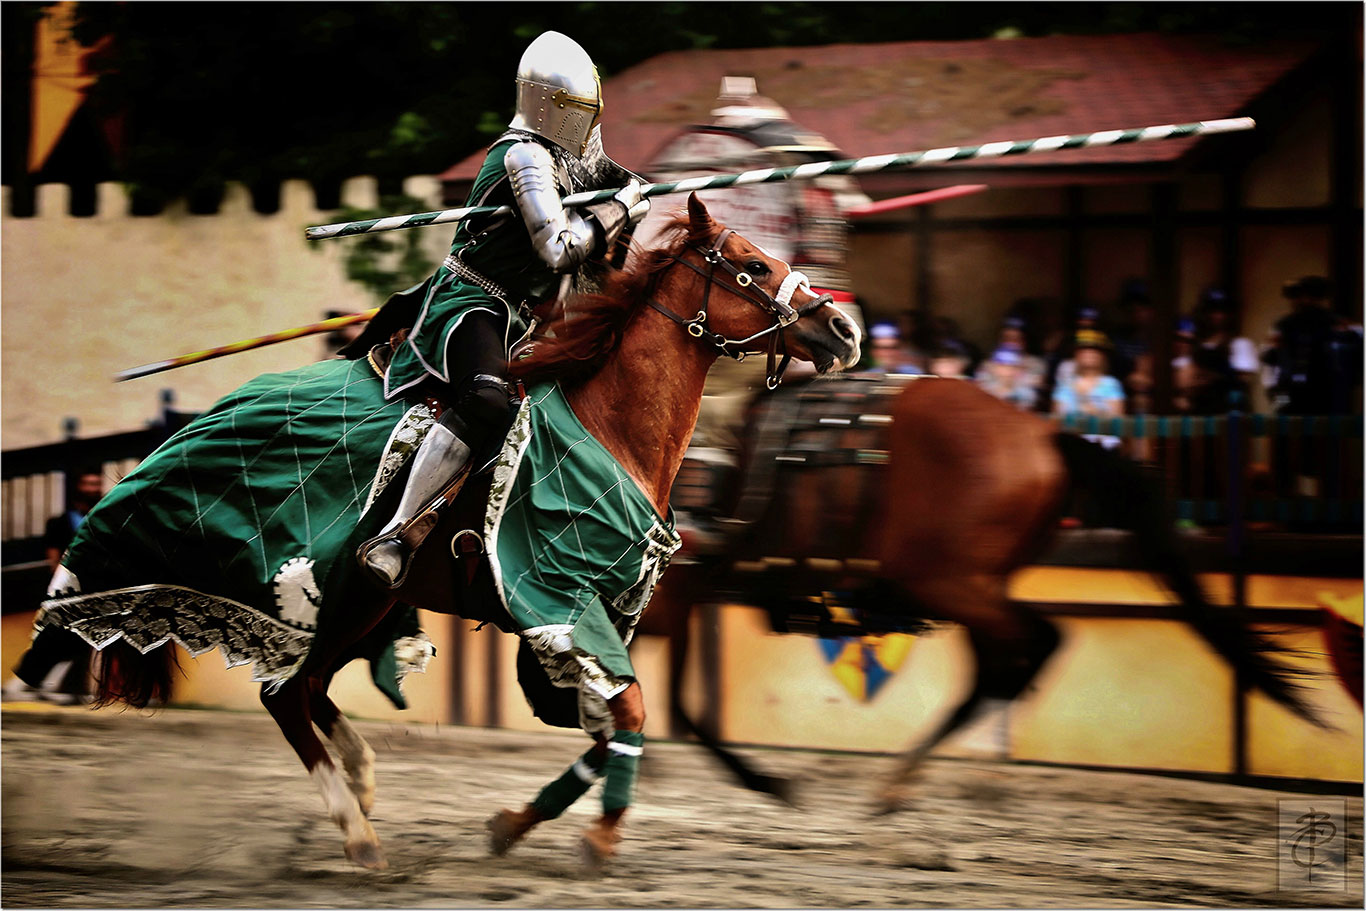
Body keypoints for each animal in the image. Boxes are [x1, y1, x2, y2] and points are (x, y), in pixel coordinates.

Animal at [82, 196, 852, 874]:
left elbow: (611, 728)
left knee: (309, 688)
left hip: (365, 606)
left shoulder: (591, 624)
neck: (612, 430)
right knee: (287, 696)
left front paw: (511, 826)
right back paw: (358, 834)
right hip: (345, 597)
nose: (842, 329)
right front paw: (599, 840)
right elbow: (631, 710)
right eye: (750, 265)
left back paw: (361, 782)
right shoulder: (561, 606)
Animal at [636, 374, 1322, 808]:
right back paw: (912, 776)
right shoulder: (675, 601)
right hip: (967, 590)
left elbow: (677, 702)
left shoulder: (668, 597)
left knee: (1038, 641)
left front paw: (762, 782)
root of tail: (1043, 436)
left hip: (950, 583)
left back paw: (913, 776)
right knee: (1005, 662)